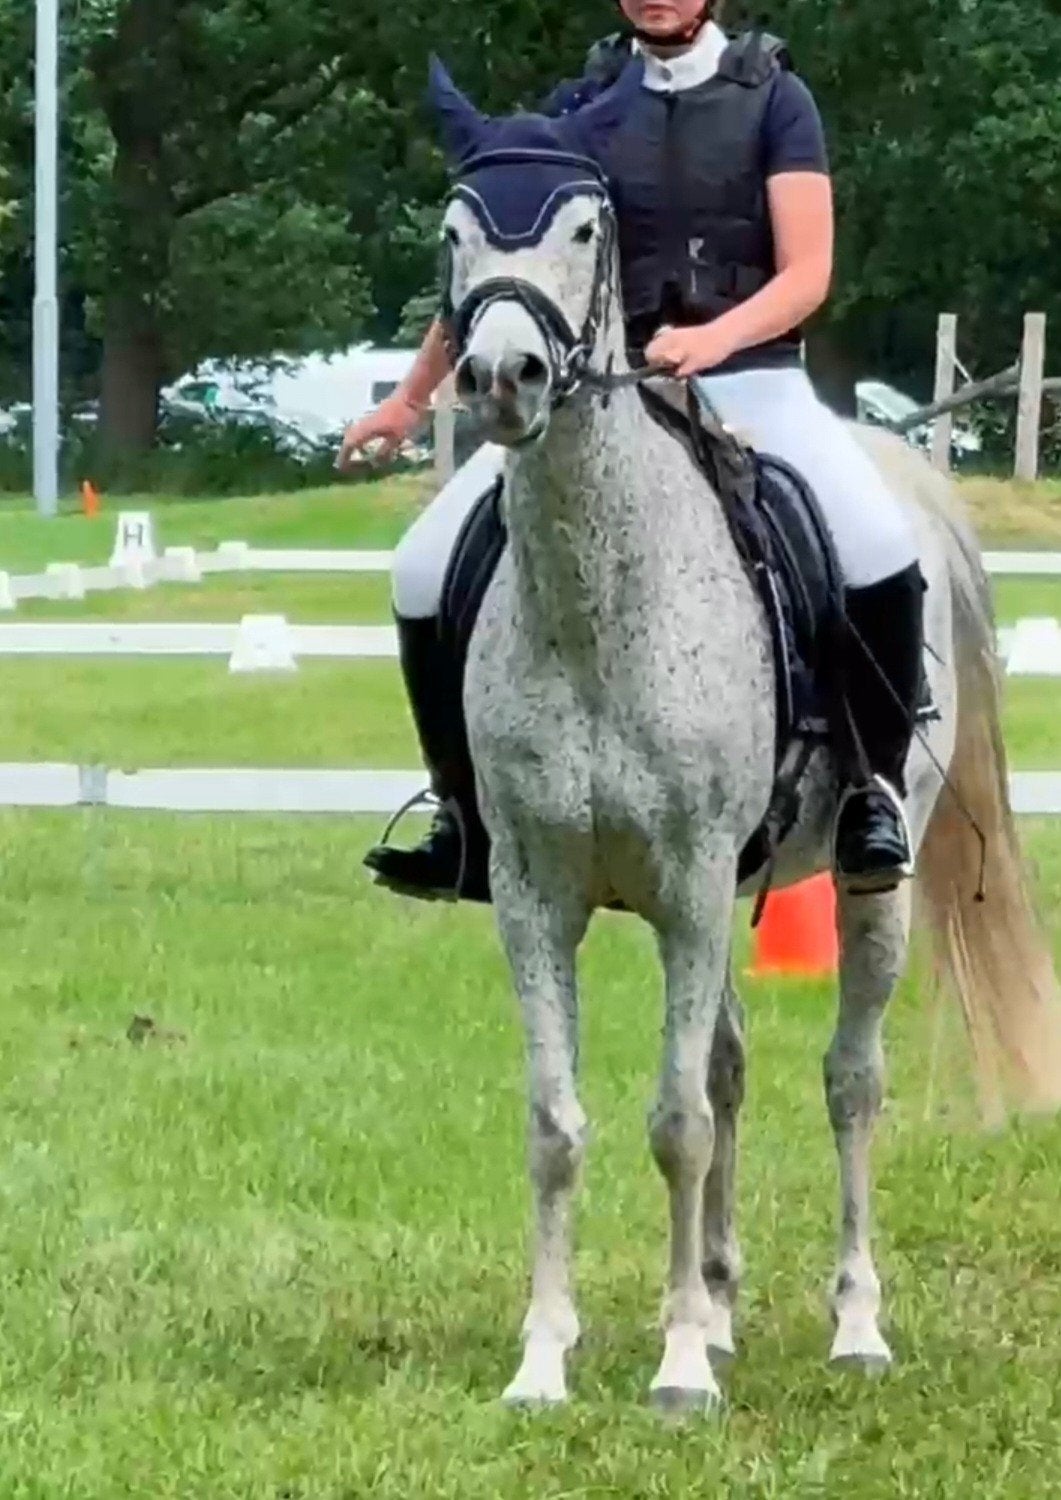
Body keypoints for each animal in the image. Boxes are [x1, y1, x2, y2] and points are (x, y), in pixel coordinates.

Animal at [424, 58, 1061, 1410]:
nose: (502, 377)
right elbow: (558, 1123)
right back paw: (717, 1304)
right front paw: (546, 1360)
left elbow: (673, 1121)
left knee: (847, 1082)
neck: (597, 603)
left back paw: (853, 1328)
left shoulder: (684, 880)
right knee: (729, 1067)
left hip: (860, 886)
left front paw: (674, 1373)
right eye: (454, 232)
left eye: (584, 228)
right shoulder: (536, 895)